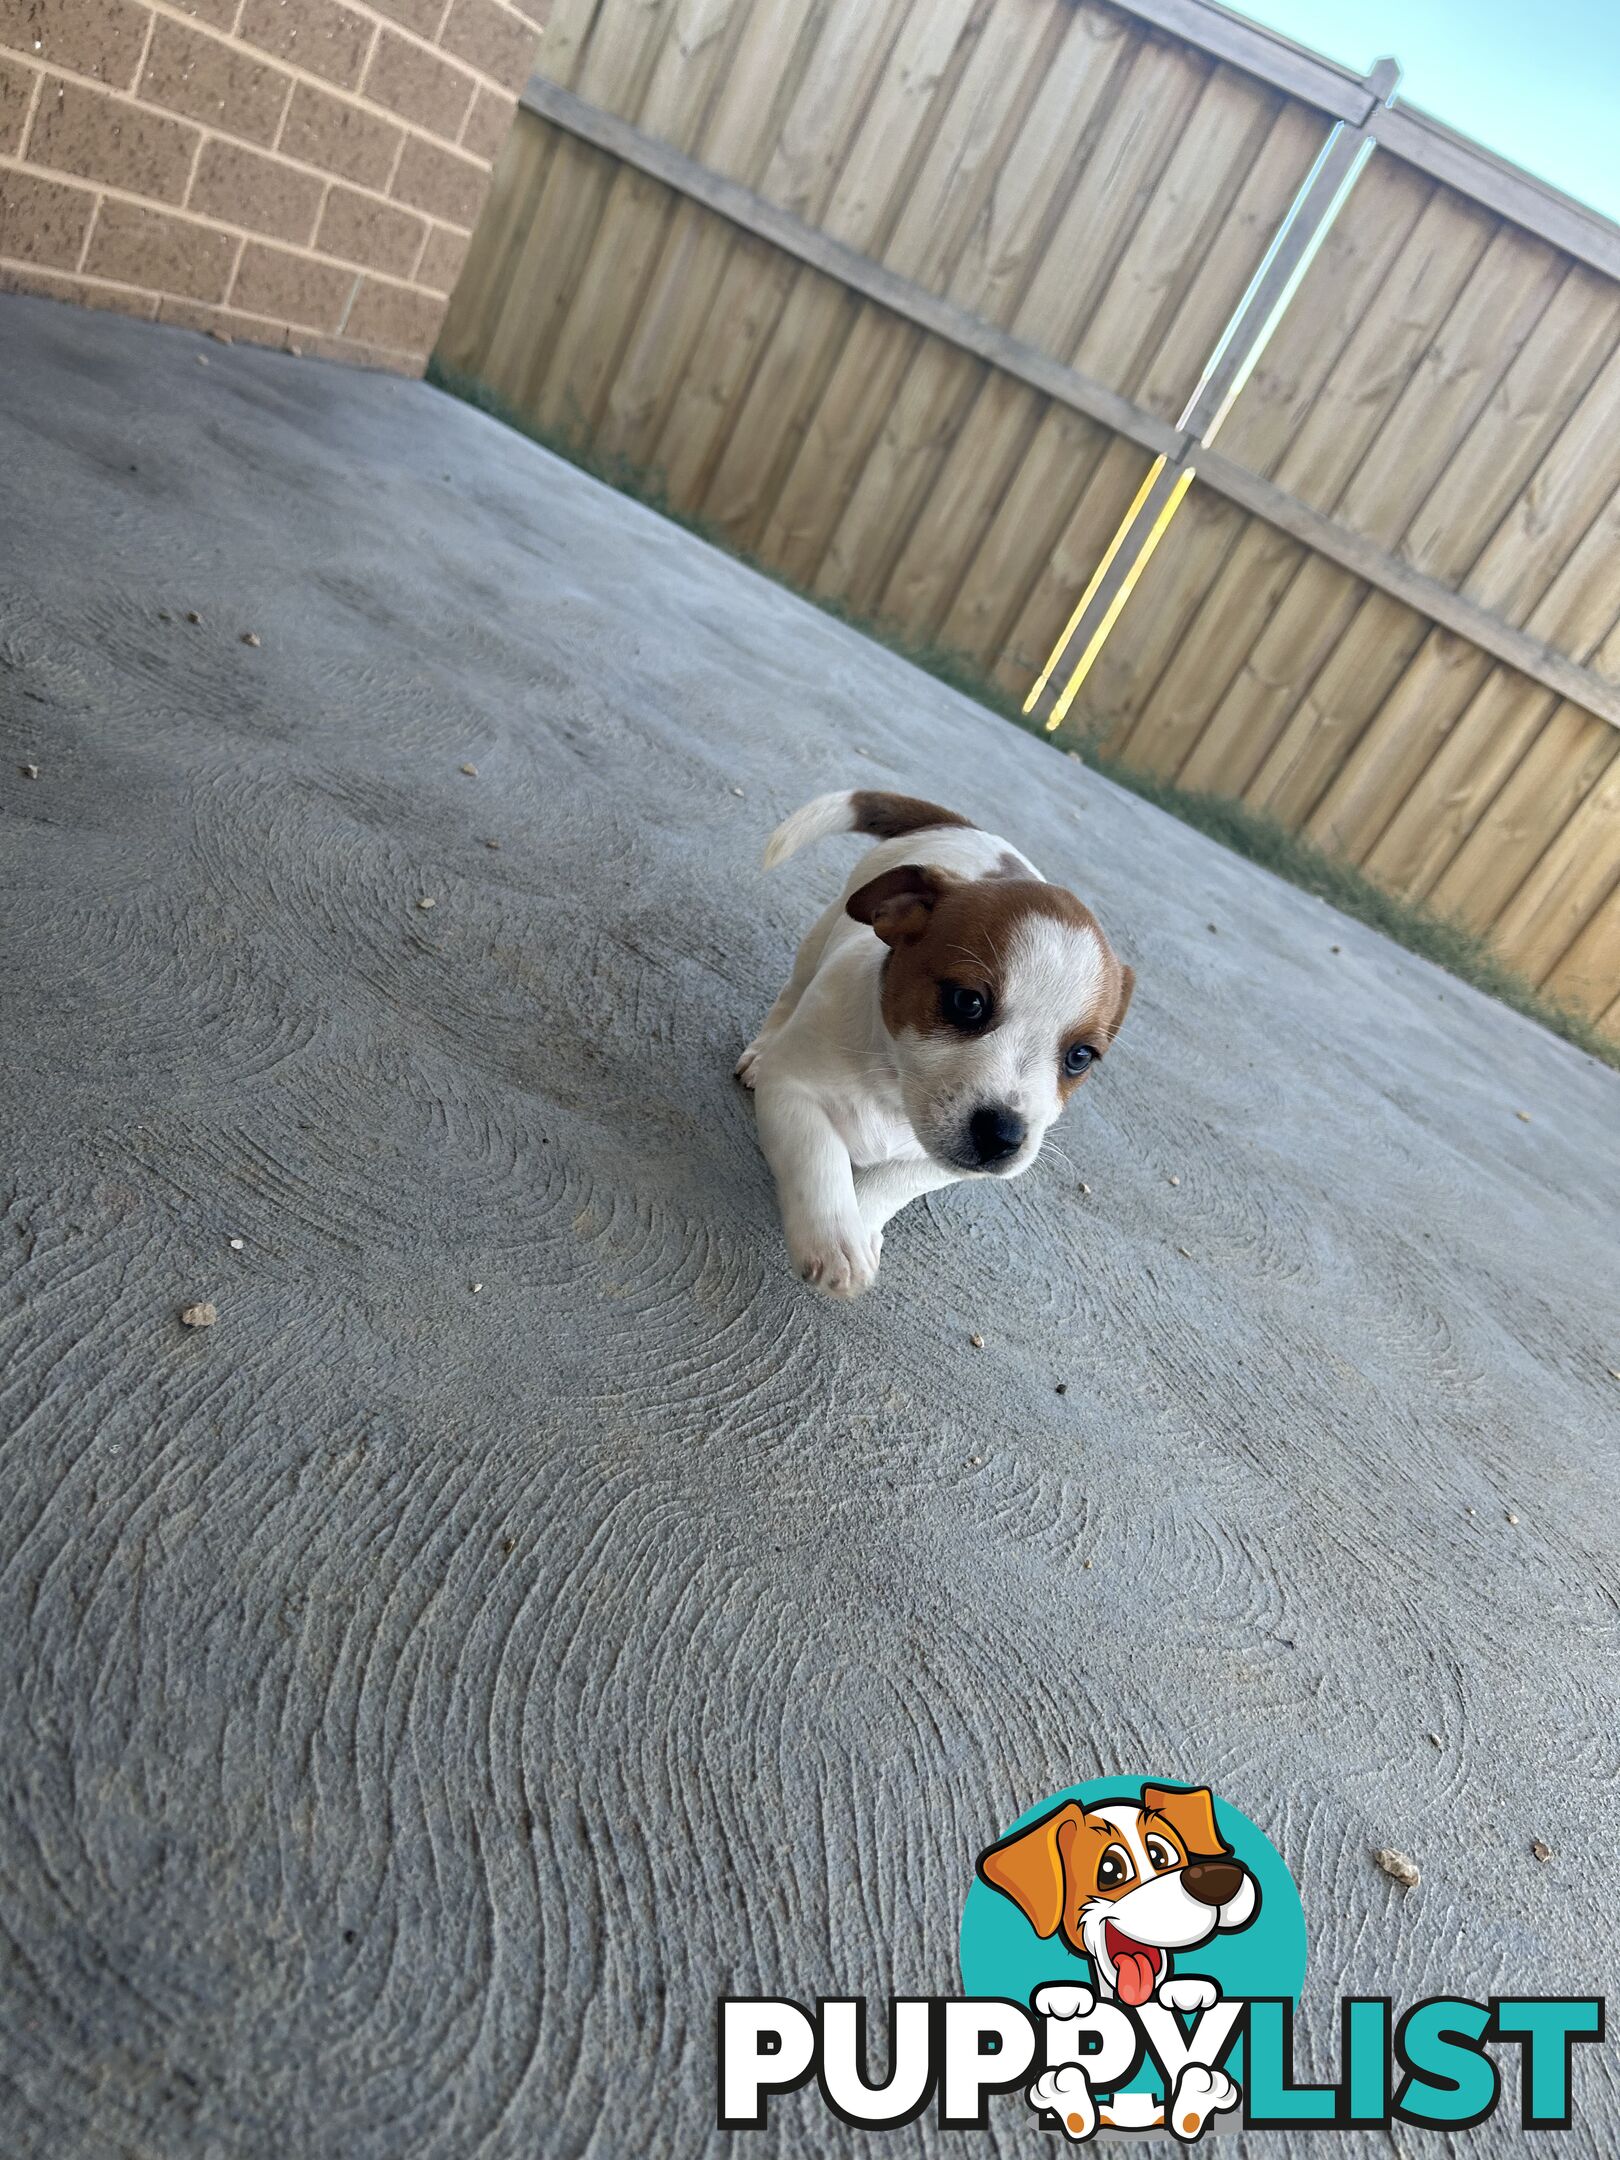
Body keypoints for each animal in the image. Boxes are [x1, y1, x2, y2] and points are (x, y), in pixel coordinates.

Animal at [743, 794, 1131, 1296]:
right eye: (967, 1002)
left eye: (1080, 1057)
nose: (1004, 1136)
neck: (891, 1089)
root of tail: (970, 828)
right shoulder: (793, 1091)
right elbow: (819, 1159)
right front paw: (836, 1241)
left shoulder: (936, 1164)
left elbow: (889, 1184)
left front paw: (861, 1225)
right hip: (816, 943)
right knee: (790, 995)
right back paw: (759, 1052)